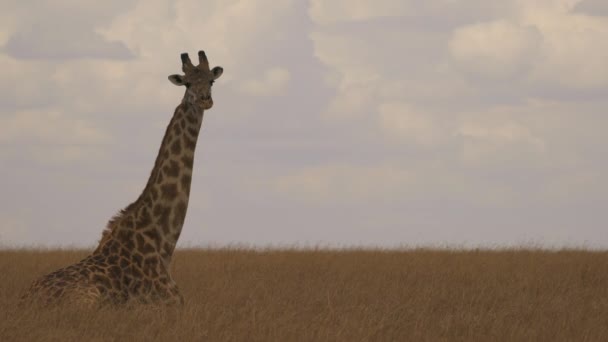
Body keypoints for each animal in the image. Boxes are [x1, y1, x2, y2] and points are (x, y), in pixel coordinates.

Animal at [22, 49, 226, 306]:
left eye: (211, 81)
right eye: (187, 82)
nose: (205, 100)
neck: (162, 244)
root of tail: (26, 299)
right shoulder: (167, 304)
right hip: (88, 299)